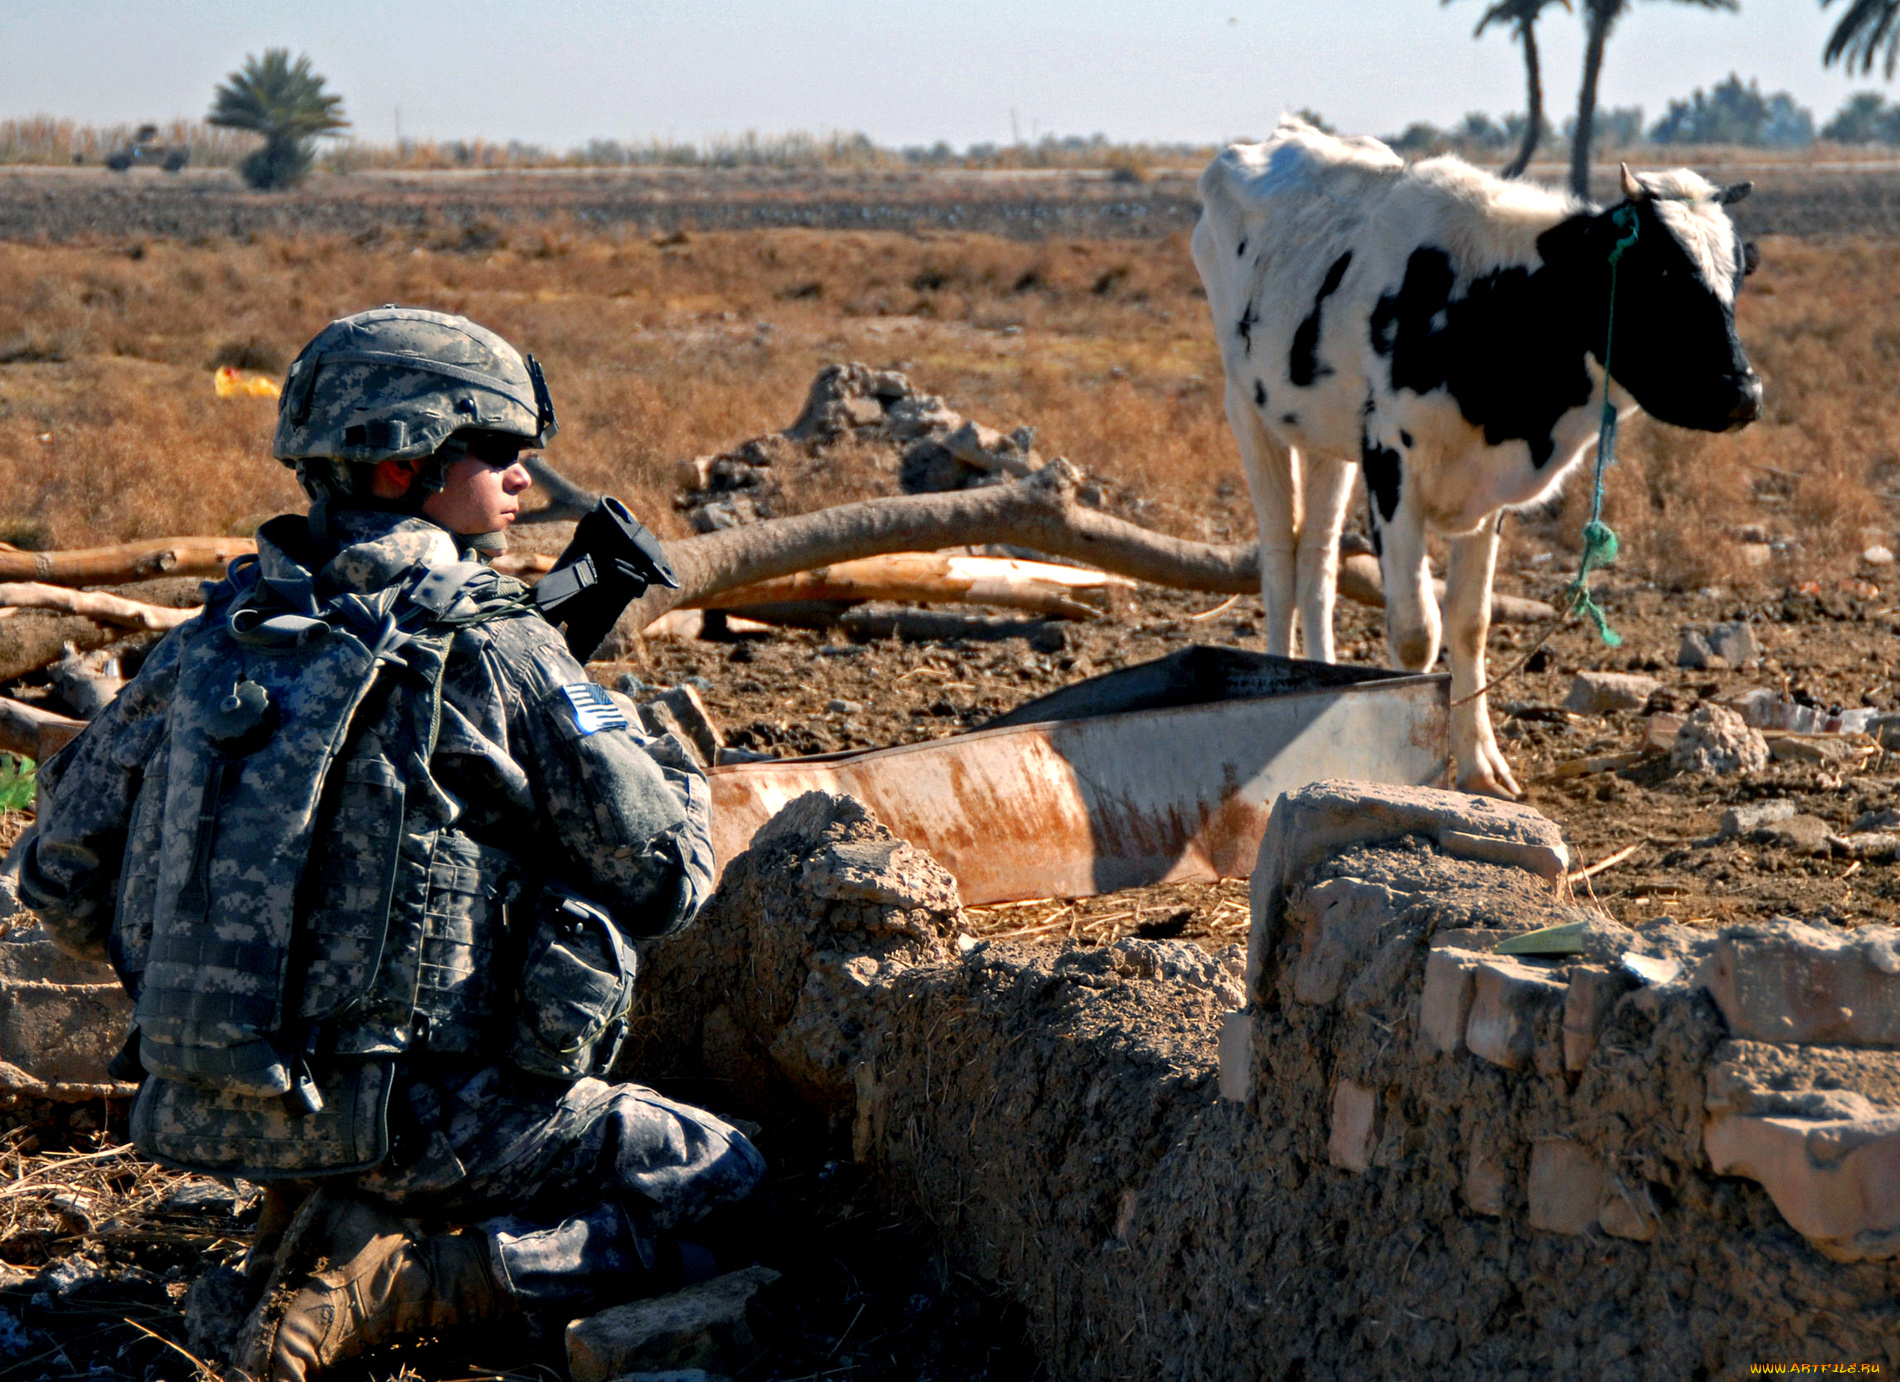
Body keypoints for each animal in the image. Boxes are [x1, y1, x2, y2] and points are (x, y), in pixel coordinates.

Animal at [1193, 118, 1755, 798]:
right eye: (1661, 277)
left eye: (1738, 277)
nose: (1743, 393)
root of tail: (1282, 133)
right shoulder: (1390, 465)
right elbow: (1416, 633)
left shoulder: (1486, 490)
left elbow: (1469, 622)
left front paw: (1480, 761)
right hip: (1248, 410)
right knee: (1278, 558)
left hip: (1327, 439)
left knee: (1317, 560)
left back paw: (1323, 675)